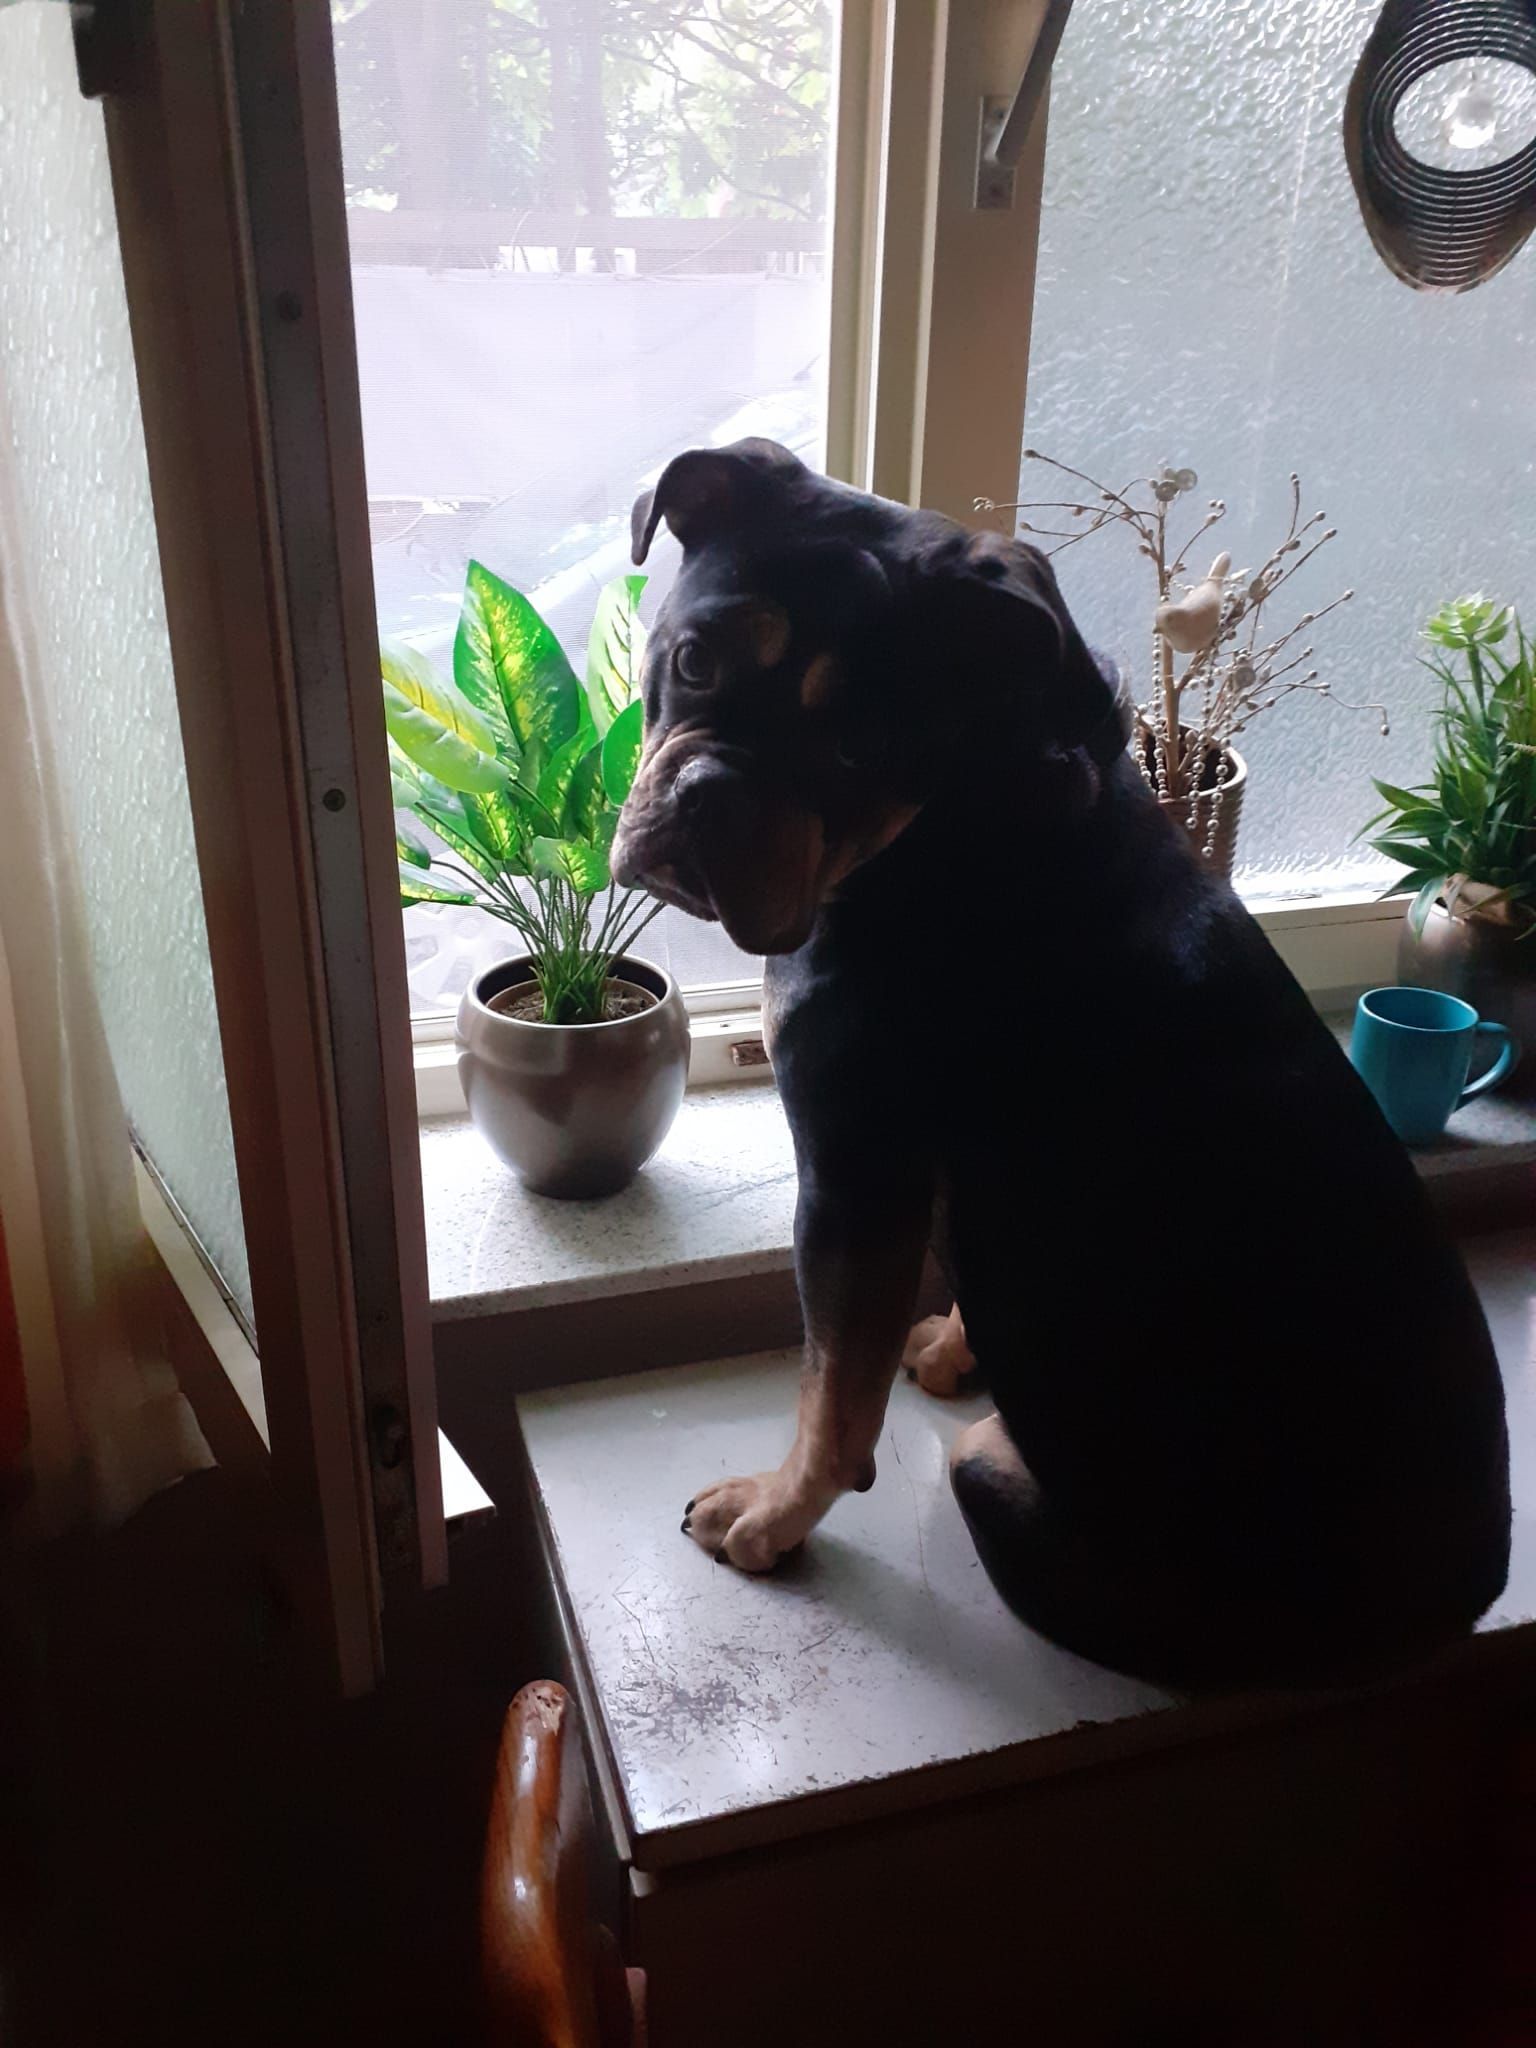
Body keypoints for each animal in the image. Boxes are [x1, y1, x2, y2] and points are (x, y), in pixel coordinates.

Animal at [610, 437, 1511, 1687]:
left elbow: (834, 1390)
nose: (708, 797)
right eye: (692, 658)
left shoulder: (855, 1176)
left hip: (998, 1467)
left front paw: (772, 1514)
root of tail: (1451, 1604)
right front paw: (951, 1340)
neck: (955, 811)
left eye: (858, 746)